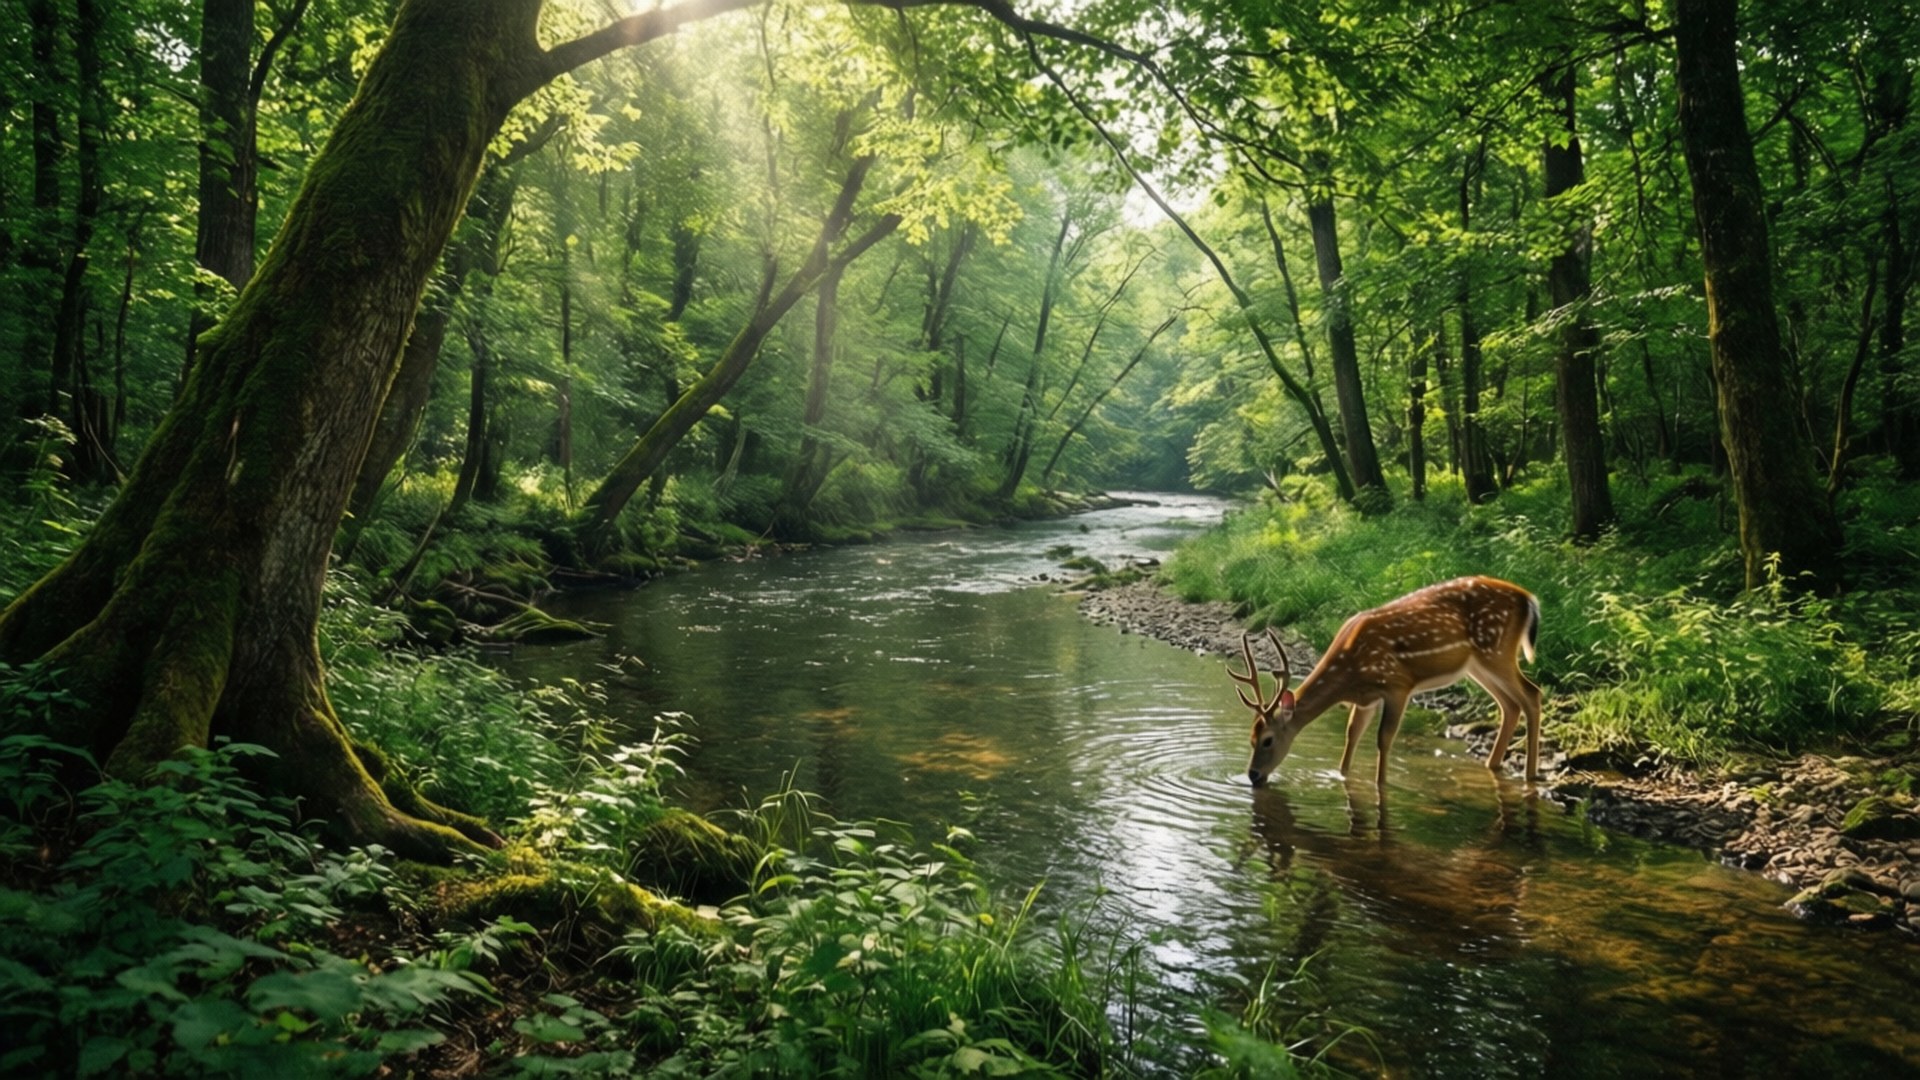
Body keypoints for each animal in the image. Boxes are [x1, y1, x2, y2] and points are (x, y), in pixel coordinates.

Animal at [1230, 576, 1543, 787]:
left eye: (1268, 740)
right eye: (1250, 738)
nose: (1253, 775)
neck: (1350, 673)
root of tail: (1529, 599)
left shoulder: (1397, 685)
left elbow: (1383, 738)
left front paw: (1380, 784)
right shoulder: (1366, 699)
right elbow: (1352, 735)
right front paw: (1342, 776)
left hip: (1496, 652)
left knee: (1532, 694)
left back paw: (1530, 775)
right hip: (1477, 665)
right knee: (1510, 705)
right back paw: (1494, 765)